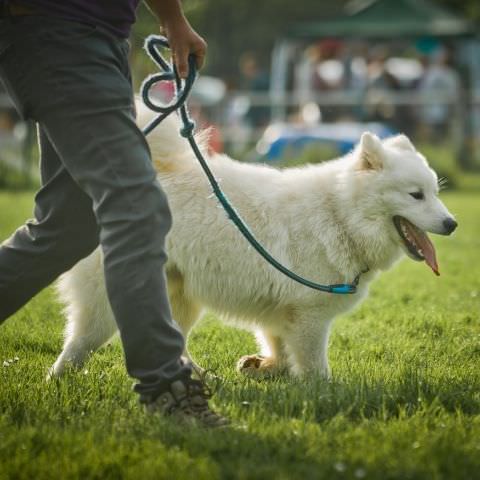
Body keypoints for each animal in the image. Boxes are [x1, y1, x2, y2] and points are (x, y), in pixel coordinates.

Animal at [49, 104, 458, 378]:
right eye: (416, 195)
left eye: (435, 193)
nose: (452, 223)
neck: (339, 214)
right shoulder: (309, 315)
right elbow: (314, 365)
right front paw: (323, 391)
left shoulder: (283, 310)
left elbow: (278, 343)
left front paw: (266, 366)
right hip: (106, 303)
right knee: (80, 342)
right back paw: (60, 378)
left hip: (178, 294)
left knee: (172, 339)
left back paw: (198, 375)